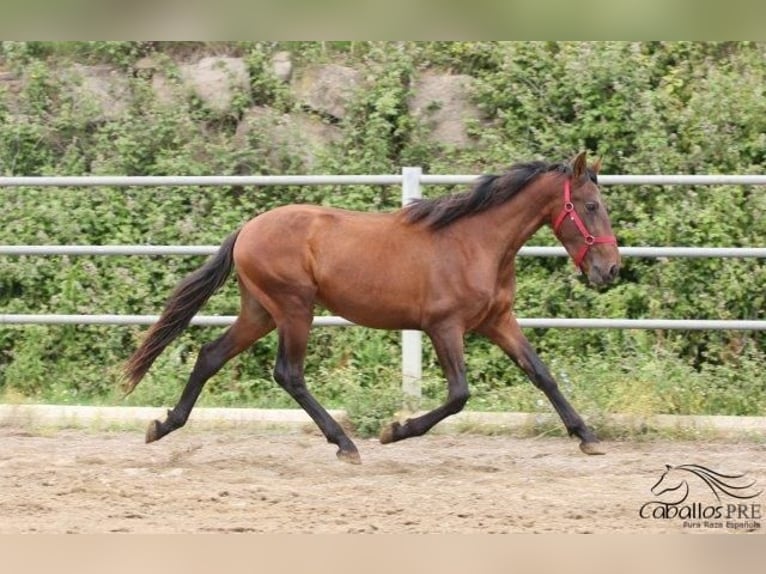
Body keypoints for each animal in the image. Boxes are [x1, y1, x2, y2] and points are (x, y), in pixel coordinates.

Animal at [124, 152, 616, 464]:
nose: (610, 270)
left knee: (210, 355)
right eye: (591, 206)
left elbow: (542, 375)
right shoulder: (445, 327)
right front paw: (393, 431)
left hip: (260, 312)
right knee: (288, 373)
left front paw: (588, 438)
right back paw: (346, 445)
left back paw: (161, 426)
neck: (475, 243)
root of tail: (247, 229)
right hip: (294, 309)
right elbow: (459, 395)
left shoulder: (498, 322)